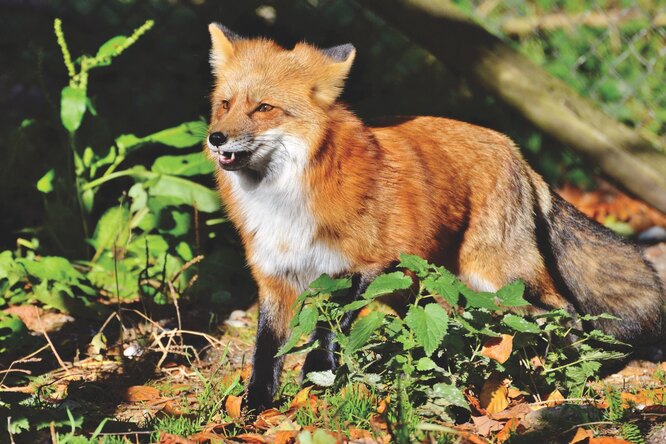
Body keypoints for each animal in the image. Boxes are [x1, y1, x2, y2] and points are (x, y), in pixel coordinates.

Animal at [205, 22, 660, 412]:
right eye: (225, 104)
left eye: (265, 107)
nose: (215, 138)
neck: (285, 201)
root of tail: (513, 147)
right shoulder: (275, 278)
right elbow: (266, 354)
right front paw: (254, 408)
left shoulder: (361, 267)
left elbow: (326, 336)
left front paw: (316, 388)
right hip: (418, 286)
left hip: (498, 275)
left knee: (564, 310)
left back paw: (555, 368)